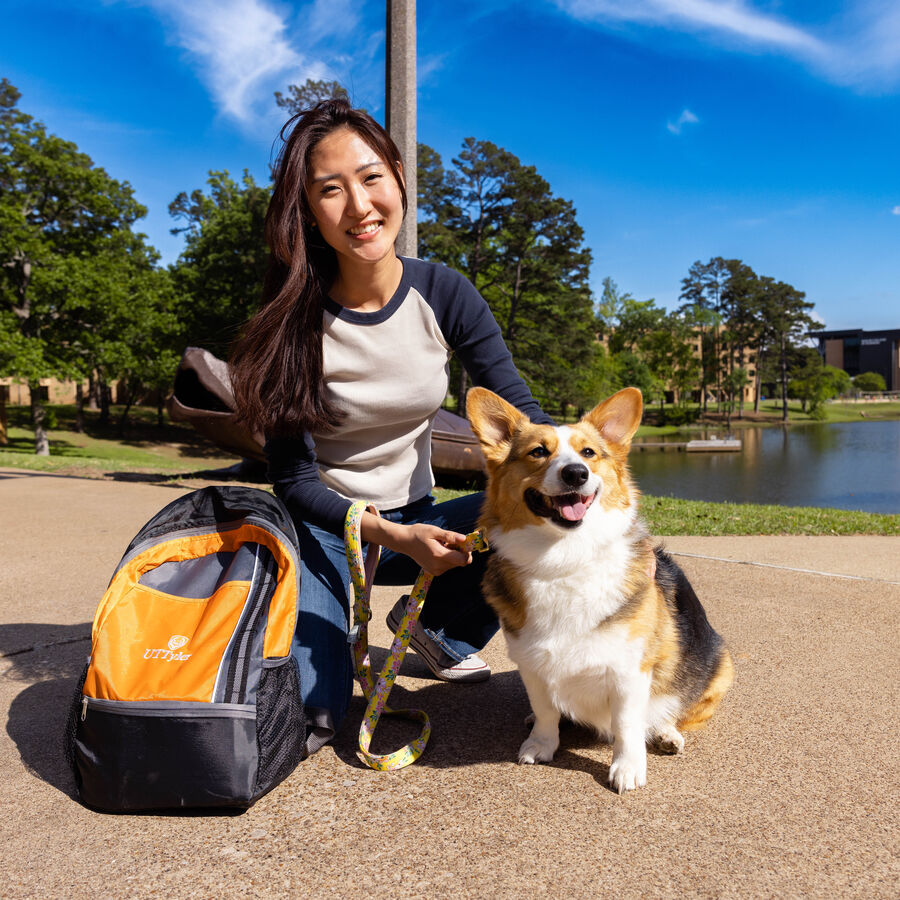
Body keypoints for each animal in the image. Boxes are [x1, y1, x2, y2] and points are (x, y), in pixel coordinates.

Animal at [468, 388, 736, 796]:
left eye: (589, 453)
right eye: (538, 452)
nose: (576, 473)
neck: (564, 557)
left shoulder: (628, 671)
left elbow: (626, 726)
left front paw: (627, 769)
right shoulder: (530, 664)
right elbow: (545, 710)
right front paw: (541, 744)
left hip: (720, 666)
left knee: (672, 710)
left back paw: (666, 734)